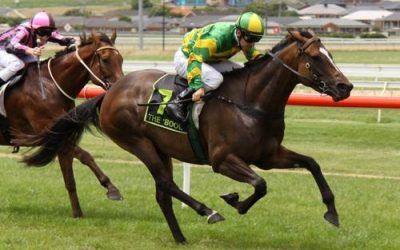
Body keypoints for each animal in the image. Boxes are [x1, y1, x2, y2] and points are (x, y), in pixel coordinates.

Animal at [14, 30, 354, 241]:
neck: (251, 101)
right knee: (167, 184)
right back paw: (208, 211)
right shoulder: (222, 159)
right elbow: (260, 184)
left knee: (163, 192)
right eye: (317, 57)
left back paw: (180, 237)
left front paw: (332, 213)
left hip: (160, 148)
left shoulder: (269, 155)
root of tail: (110, 93)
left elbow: (311, 164)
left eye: (331, 54)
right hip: (138, 143)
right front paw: (234, 201)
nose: (345, 87)